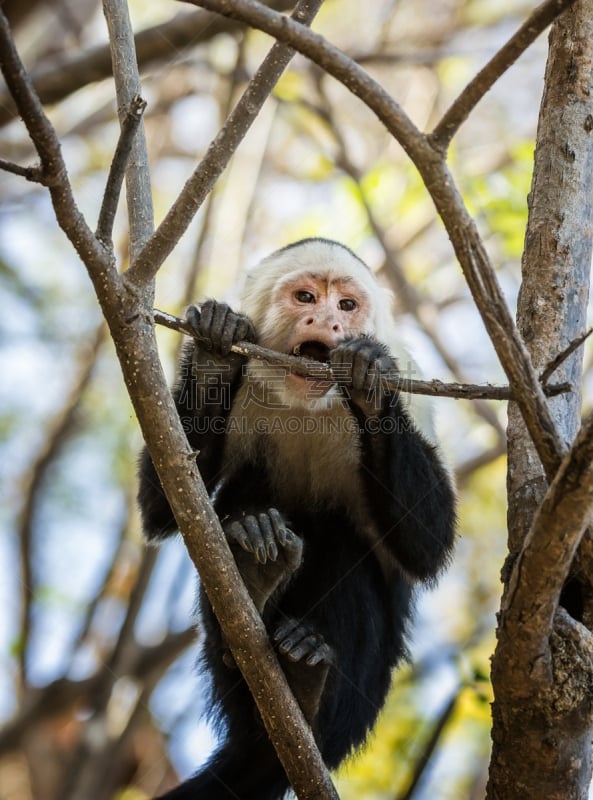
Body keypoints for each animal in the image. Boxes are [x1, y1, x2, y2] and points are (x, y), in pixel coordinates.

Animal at [138, 236, 454, 800]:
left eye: (346, 306)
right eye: (306, 296)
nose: (327, 322)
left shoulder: (414, 380)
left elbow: (427, 547)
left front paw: (369, 382)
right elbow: (166, 508)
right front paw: (216, 354)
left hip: (358, 702)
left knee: (342, 537)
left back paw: (306, 688)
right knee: (243, 499)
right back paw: (253, 574)